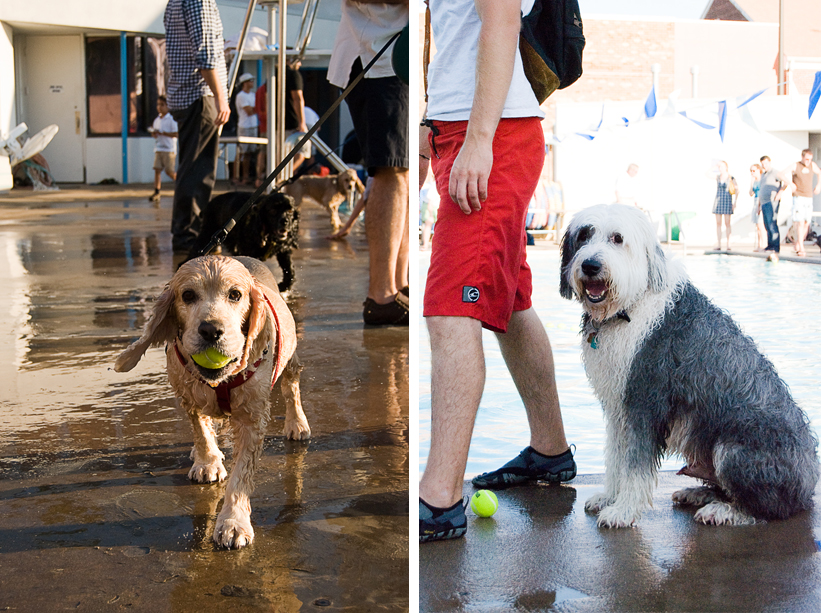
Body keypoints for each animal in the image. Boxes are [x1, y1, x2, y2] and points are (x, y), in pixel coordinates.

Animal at [113, 256, 310, 548]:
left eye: (235, 295)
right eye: (187, 295)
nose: (210, 330)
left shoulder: (253, 419)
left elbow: (241, 477)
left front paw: (233, 522)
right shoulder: (188, 395)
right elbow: (202, 431)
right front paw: (207, 462)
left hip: (291, 359)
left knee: (291, 388)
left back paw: (297, 424)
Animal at [560, 204, 816, 524]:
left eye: (617, 238)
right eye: (584, 235)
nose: (591, 266)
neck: (629, 307)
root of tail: (809, 484)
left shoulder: (645, 402)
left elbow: (634, 464)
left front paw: (623, 510)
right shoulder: (619, 407)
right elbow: (617, 456)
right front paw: (609, 497)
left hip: (734, 449)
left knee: (769, 510)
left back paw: (724, 511)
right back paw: (698, 494)